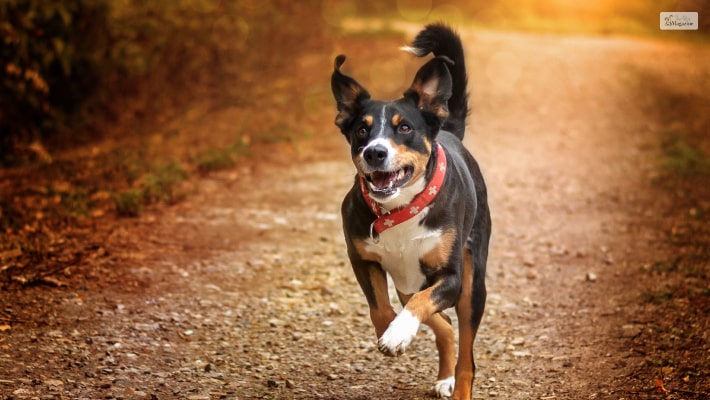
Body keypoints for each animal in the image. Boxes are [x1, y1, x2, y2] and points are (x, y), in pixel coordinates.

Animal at [332, 23, 490, 398]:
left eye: (404, 127)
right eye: (362, 129)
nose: (375, 152)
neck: (400, 209)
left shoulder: (450, 278)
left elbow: (421, 304)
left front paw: (398, 334)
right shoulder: (362, 259)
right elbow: (380, 308)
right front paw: (393, 332)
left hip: (472, 285)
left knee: (466, 357)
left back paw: (456, 382)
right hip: (408, 279)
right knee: (443, 325)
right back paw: (443, 375)